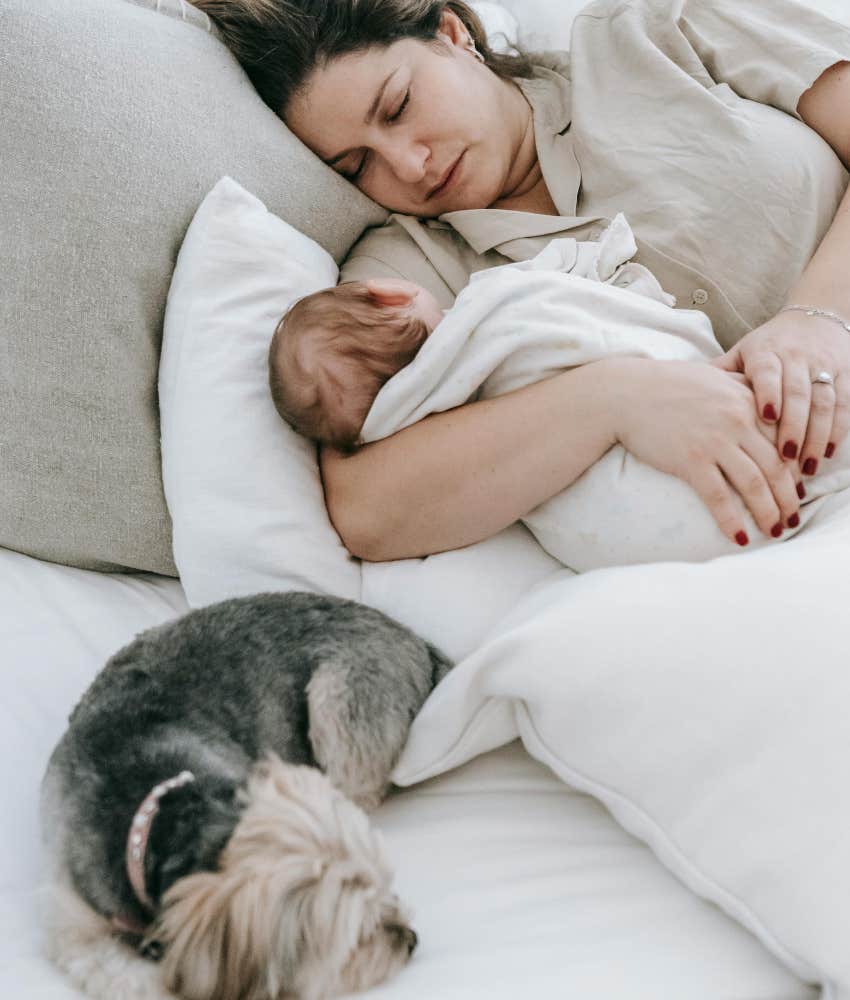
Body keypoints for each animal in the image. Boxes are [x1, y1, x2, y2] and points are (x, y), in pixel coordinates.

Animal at [39, 588, 450, 1000]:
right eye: (351, 935)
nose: (411, 939)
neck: (161, 818)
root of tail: (414, 638)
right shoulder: (79, 932)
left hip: (337, 704)